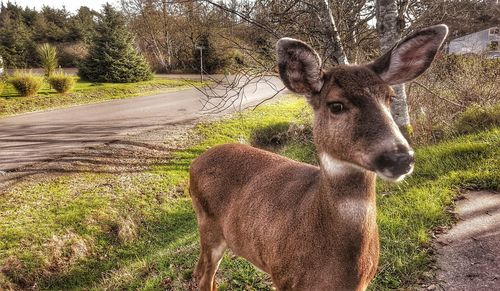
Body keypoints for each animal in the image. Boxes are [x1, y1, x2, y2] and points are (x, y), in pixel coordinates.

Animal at [188, 24, 450, 290]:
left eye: (390, 98)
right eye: (336, 105)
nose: (400, 158)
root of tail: (195, 162)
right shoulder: (284, 277)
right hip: (209, 226)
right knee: (204, 277)